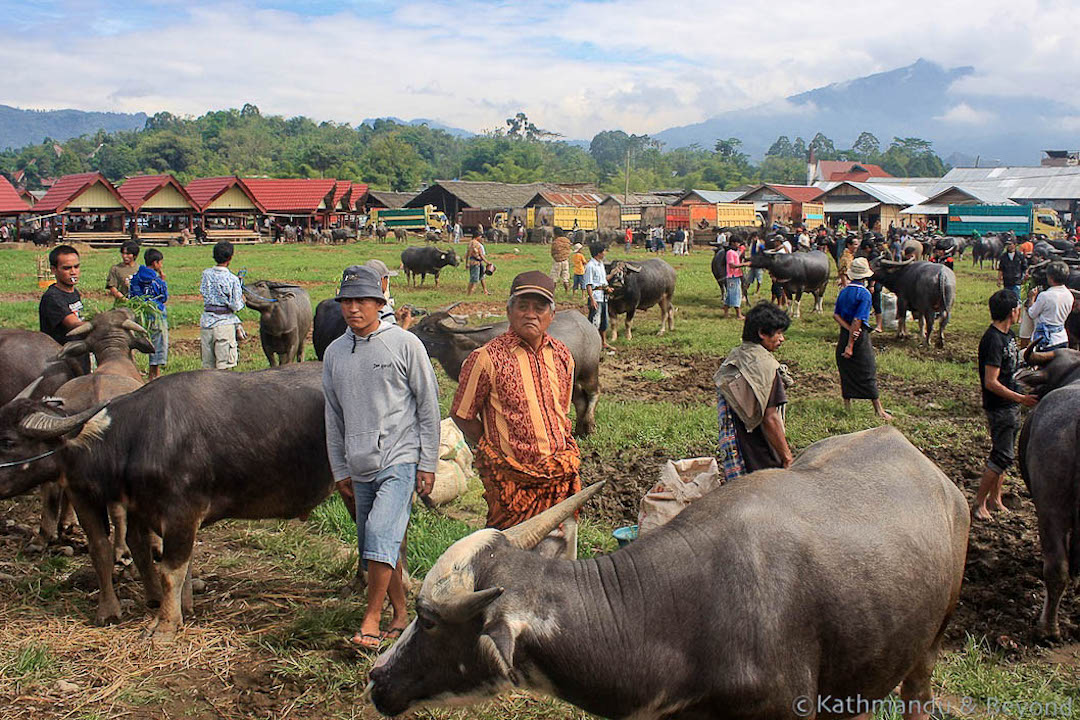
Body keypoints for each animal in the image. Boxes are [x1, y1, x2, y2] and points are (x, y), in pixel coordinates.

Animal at [0, 362, 332, 639]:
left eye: (9, 441)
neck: (134, 437)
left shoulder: (181, 512)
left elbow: (170, 570)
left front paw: (165, 625)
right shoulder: (131, 507)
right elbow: (124, 551)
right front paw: (140, 606)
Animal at [410, 308, 600, 436]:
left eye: (430, 330)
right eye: (421, 322)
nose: (409, 332)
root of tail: (588, 325)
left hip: (590, 372)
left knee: (594, 393)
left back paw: (590, 426)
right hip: (571, 382)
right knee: (580, 401)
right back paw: (579, 431)